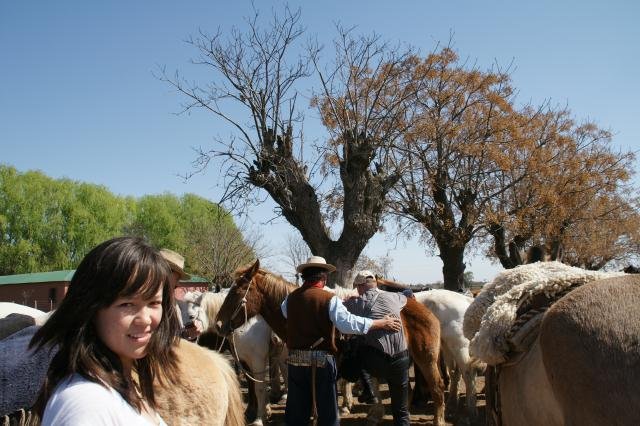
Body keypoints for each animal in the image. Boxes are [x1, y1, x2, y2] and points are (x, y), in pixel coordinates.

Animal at [182, 292, 288, 424]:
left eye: (191, 316)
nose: (185, 336)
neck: (245, 326)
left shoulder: (258, 360)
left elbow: (259, 389)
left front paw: (259, 418)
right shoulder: (244, 361)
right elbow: (252, 385)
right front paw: (255, 411)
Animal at [214, 260, 444, 426]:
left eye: (238, 290)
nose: (219, 324)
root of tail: (423, 308)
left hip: (426, 359)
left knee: (437, 387)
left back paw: (437, 420)